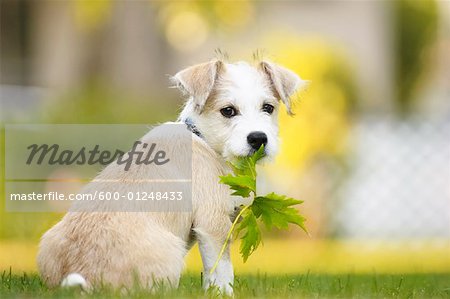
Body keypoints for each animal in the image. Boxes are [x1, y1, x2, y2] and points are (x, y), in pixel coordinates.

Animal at [37, 58, 304, 296]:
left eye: (268, 108)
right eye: (228, 111)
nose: (258, 138)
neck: (203, 139)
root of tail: (84, 279)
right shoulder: (213, 225)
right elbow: (222, 271)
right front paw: (224, 294)